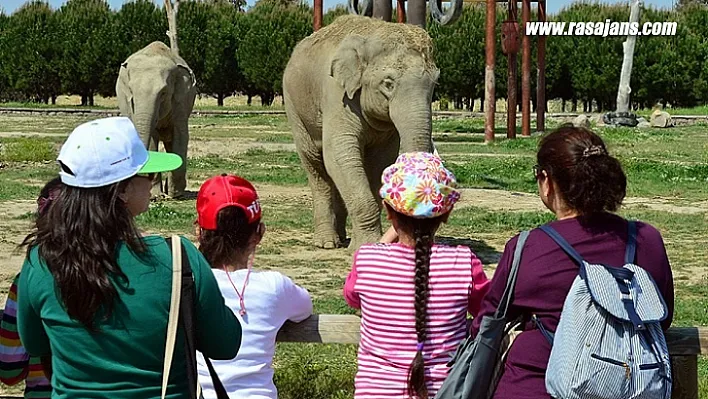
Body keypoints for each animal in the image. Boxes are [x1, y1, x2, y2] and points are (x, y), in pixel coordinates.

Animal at [115, 41, 195, 199]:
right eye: (131, 93)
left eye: (163, 93)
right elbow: (152, 138)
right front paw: (155, 196)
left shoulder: (181, 101)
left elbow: (180, 135)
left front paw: (175, 195)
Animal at [282, 16, 436, 253]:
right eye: (388, 83)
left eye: (435, 83)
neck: (374, 32)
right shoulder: (337, 96)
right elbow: (338, 154)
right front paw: (366, 245)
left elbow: (378, 162)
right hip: (295, 110)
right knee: (316, 166)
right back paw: (327, 243)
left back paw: (341, 238)